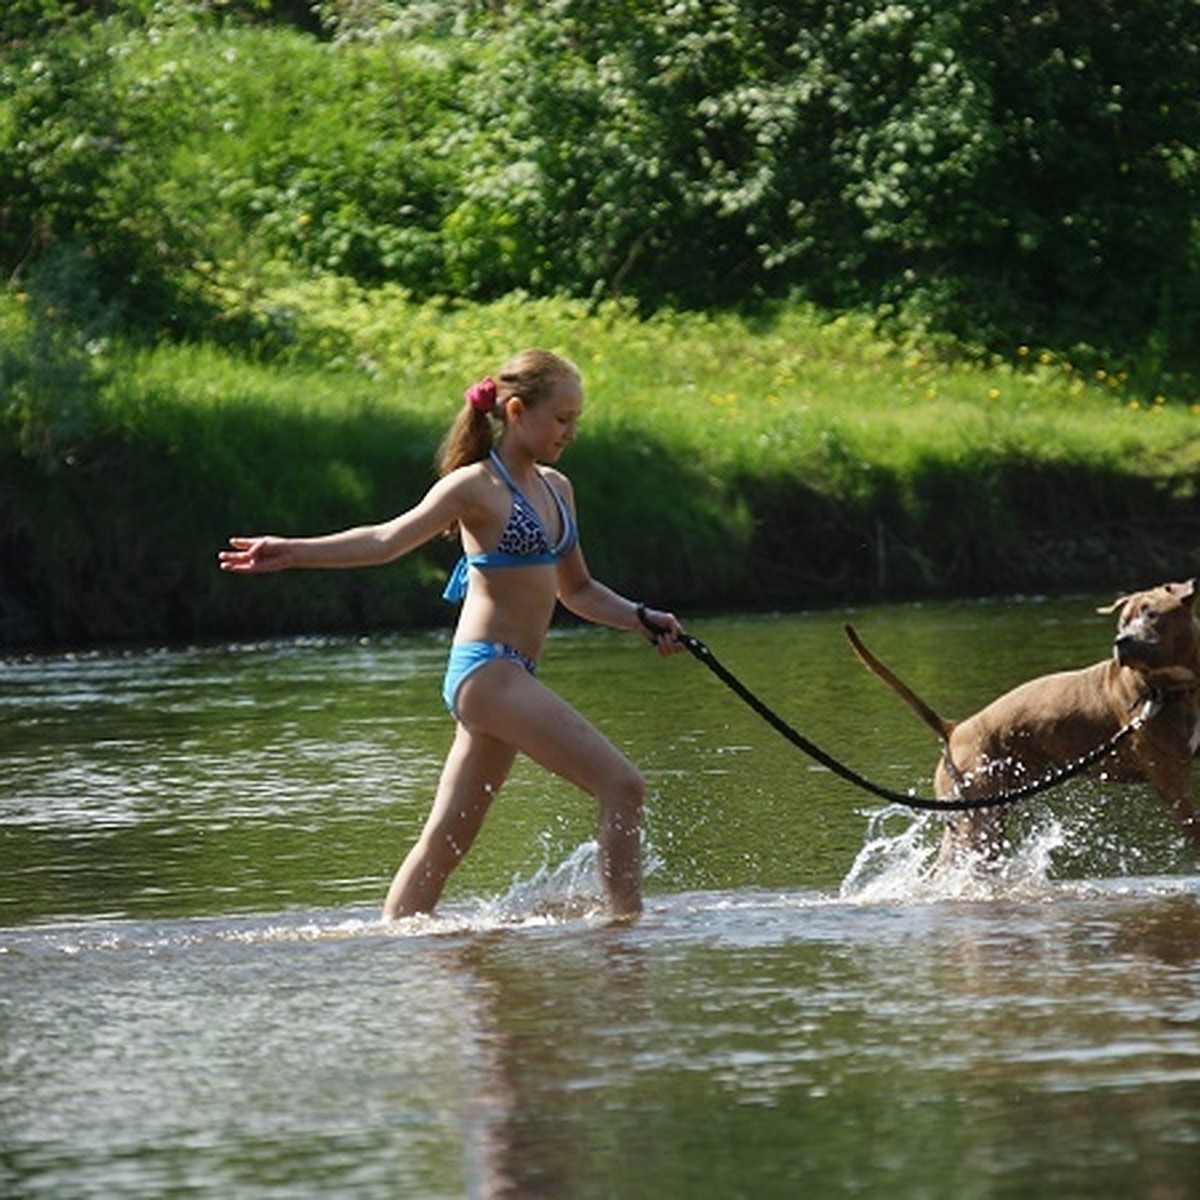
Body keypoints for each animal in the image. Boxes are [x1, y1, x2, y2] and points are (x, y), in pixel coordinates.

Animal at [844, 580, 1200, 864]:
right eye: (1122, 622)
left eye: (1152, 614)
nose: (1122, 641)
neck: (1176, 689)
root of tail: (954, 729)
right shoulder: (1170, 778)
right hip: (977, 823)